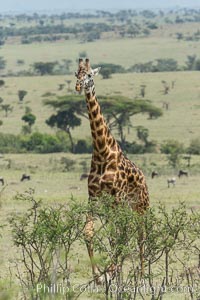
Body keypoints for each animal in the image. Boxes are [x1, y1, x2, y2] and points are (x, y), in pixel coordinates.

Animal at [75, 58, 150, 282]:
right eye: (76, 74)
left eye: (90, 75)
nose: (79, 86)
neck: (101, 151)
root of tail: (144, 178)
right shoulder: (93, 197)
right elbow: (89, 232)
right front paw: (99, 276)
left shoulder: (117, 197)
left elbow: (116, 235)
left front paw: (112, 272)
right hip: (122, 206)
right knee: (125, 232)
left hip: (140, 206)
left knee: (141, 234)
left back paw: (142, 274)